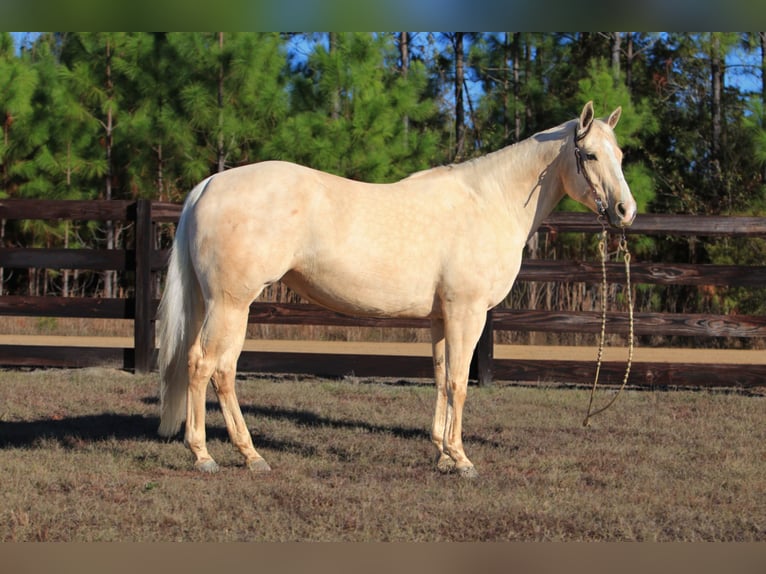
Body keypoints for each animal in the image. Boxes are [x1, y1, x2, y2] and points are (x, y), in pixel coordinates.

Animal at [157, 101, 636, 478]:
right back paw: (207, 456)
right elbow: (459, 381)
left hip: (221, 305)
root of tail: (207, 186)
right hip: (231, 304)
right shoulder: (467, 312)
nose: (625, 211)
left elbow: (441, 377)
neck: (489, 201)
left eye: (620, 154)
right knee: (205, 365)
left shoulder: (442, 317)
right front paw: (462, 459)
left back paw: (249, 455)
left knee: (221, 370)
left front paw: (442, 454)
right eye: (589, 154)